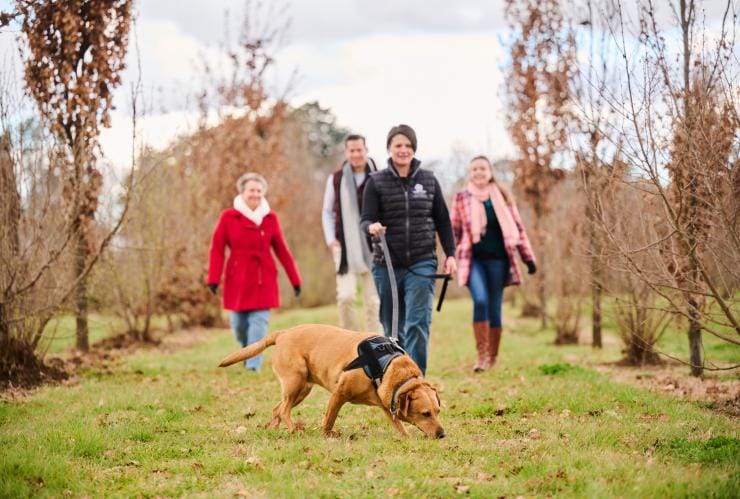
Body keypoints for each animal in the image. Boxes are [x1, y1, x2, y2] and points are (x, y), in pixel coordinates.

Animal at [215, 324, 446, 438]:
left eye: (437, 411)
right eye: (425, 413)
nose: (442, 434)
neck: (386, 364)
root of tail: (282, 333)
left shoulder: (386, 405)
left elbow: (399, 425)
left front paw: (407, 438)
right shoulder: (339, 393)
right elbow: (329, 419)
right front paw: (327, 434)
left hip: (302, 389)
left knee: (277, 409)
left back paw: (274, 428)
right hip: (295, 380)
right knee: (283, 409)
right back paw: (294, 429)